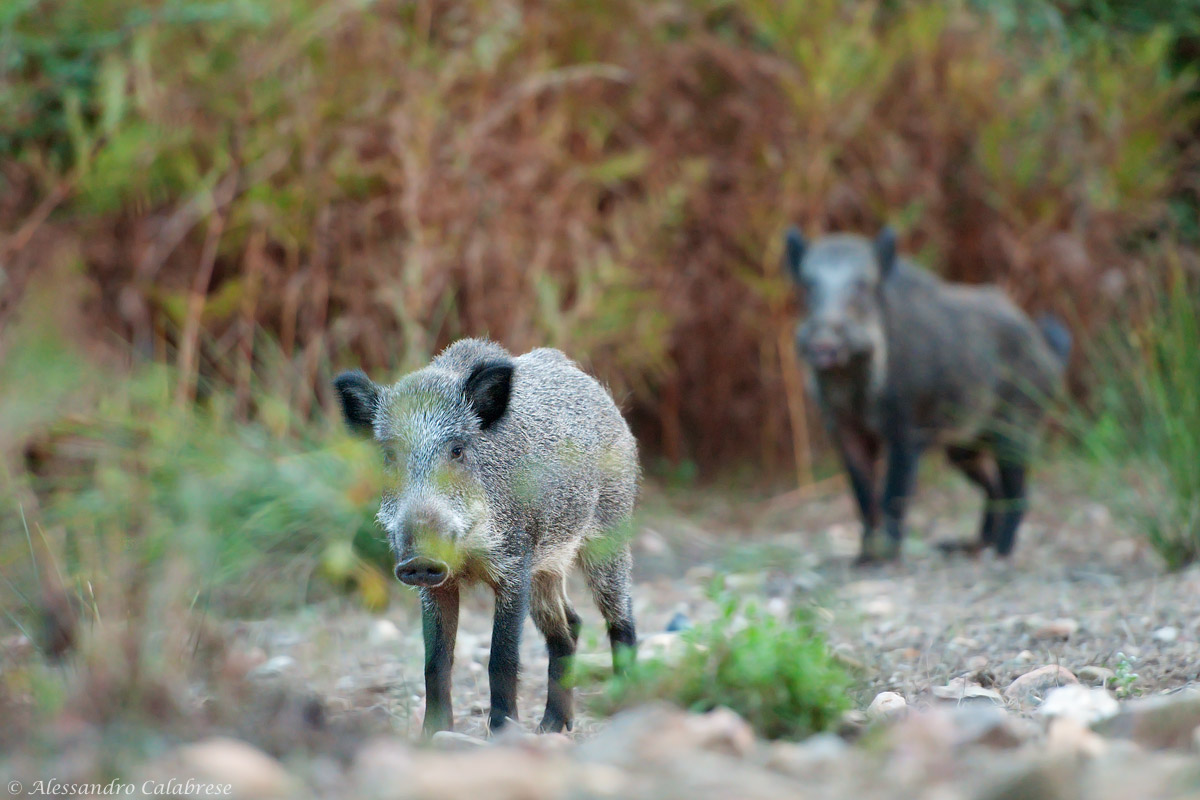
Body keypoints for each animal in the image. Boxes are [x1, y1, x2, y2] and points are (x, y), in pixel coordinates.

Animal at [333, 339, 638, 735]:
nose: (421, 559)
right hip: (547, 567)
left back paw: (624, 705)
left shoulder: (514, 565)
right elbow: (436, 661)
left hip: (611, 528)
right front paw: (434, 734)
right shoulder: (438, 585)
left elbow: (502, 657)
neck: (468, 553)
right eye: (389, 455)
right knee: (568, 626)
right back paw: (552, 727)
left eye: (457, 450)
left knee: (621, 617)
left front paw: (502, 733)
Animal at [783, 228, 1069, 563]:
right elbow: (864, 495)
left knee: (1018, 490)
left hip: (1018, 423)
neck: (851, 383)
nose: (823, 343)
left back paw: (1001, 553)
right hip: (963, 445)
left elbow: (893, 494)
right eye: (807, 285)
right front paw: (863, 559)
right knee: (993, 488)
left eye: (862, 285)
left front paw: (886, 557)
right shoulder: (844, 428)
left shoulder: (907, 428)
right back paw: (968, 547)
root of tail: (1048, 352)